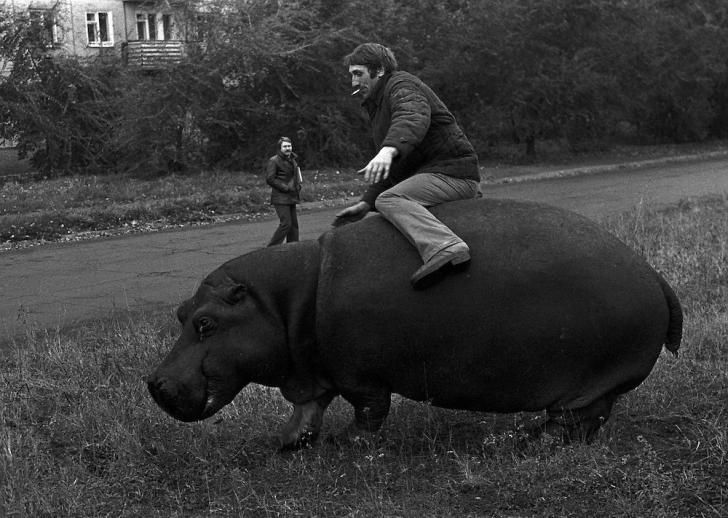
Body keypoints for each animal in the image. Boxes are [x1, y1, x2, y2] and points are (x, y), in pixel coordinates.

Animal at [147, 198, 682, 449]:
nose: (153, 383)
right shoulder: (314, 370)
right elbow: (308, 406)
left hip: (594, 381)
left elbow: (368, 412)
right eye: (180, 313)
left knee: (582, 419)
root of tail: (654, 275)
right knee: (586, 420)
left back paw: (531, 441)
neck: (285, 300)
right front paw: (289, 442)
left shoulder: (359, 375)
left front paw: (346, 443)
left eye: (206, 323)